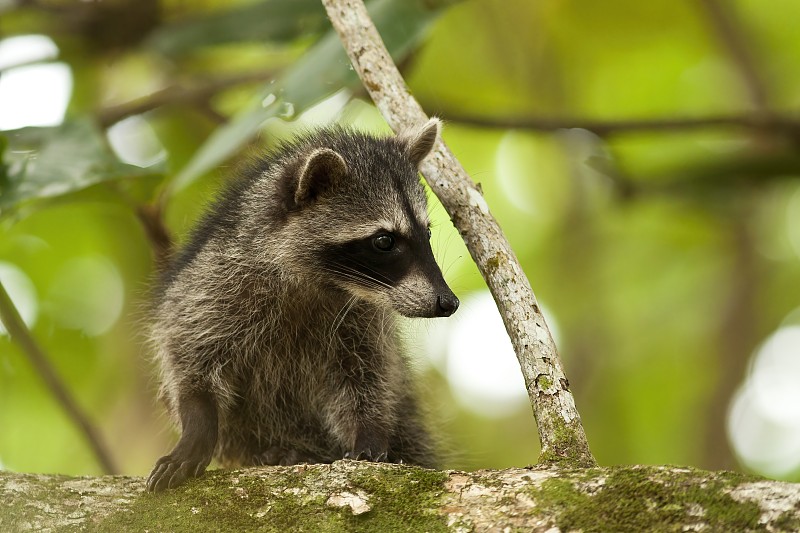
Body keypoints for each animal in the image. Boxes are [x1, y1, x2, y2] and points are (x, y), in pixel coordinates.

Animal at [143, 117, 456, 490]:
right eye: (384, 241)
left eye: (427, 234)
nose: (449, 302)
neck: (318, 282)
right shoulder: (210, 285)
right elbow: (189, 359)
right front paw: (196, 428)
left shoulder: (362, 319)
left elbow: (368, 376)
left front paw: (369, 431)